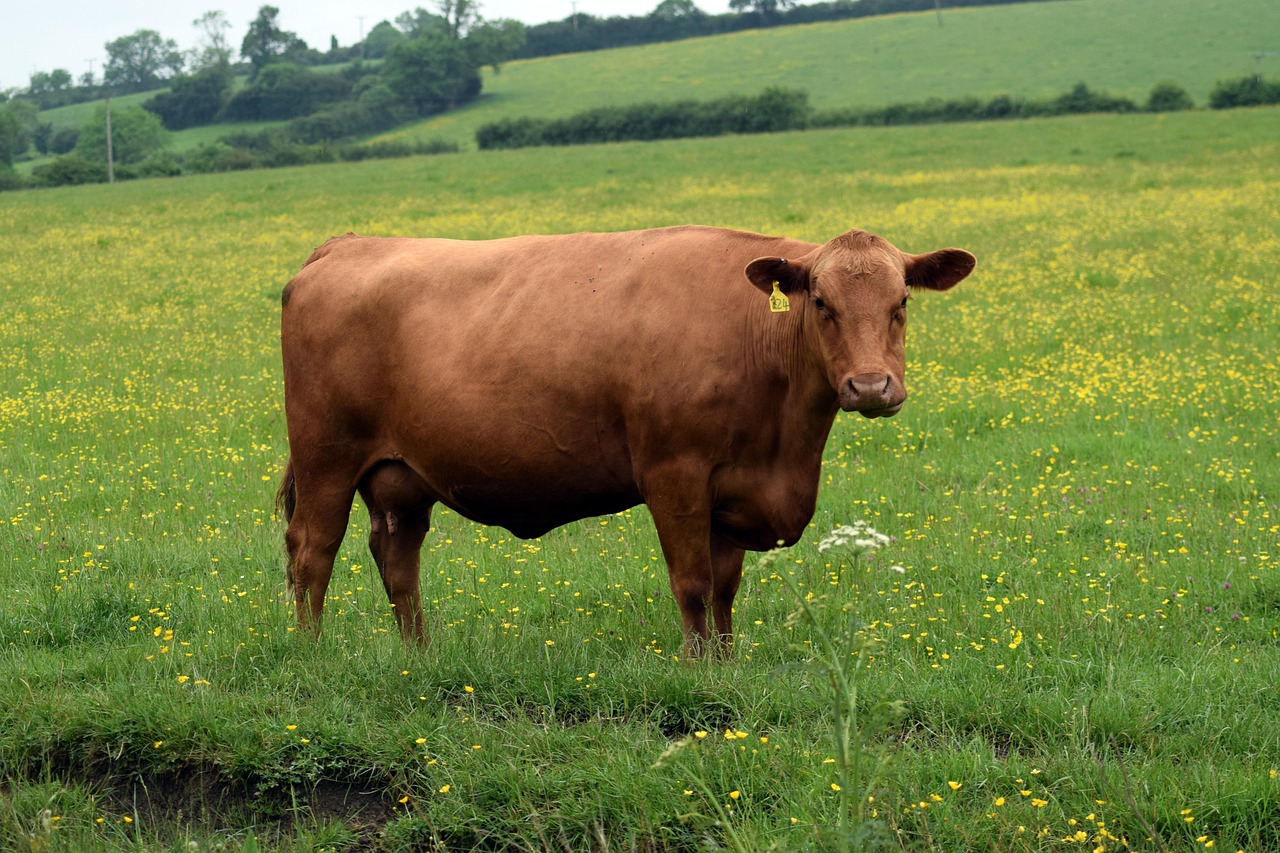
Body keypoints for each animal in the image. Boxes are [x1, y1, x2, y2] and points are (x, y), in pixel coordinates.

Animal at [272, 224, 967, 650]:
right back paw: (312, 652)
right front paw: (697, 674)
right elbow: (692, 583)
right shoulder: (675, 473)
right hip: (326, 456)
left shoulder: (733, 491)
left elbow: (725, 588)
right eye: (820, 302)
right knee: (312, 550)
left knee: (397, 556)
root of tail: (347, 244)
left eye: (902, 301)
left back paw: (420, 654)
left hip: (401, 476)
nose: (870, 386)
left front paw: (727, 667)